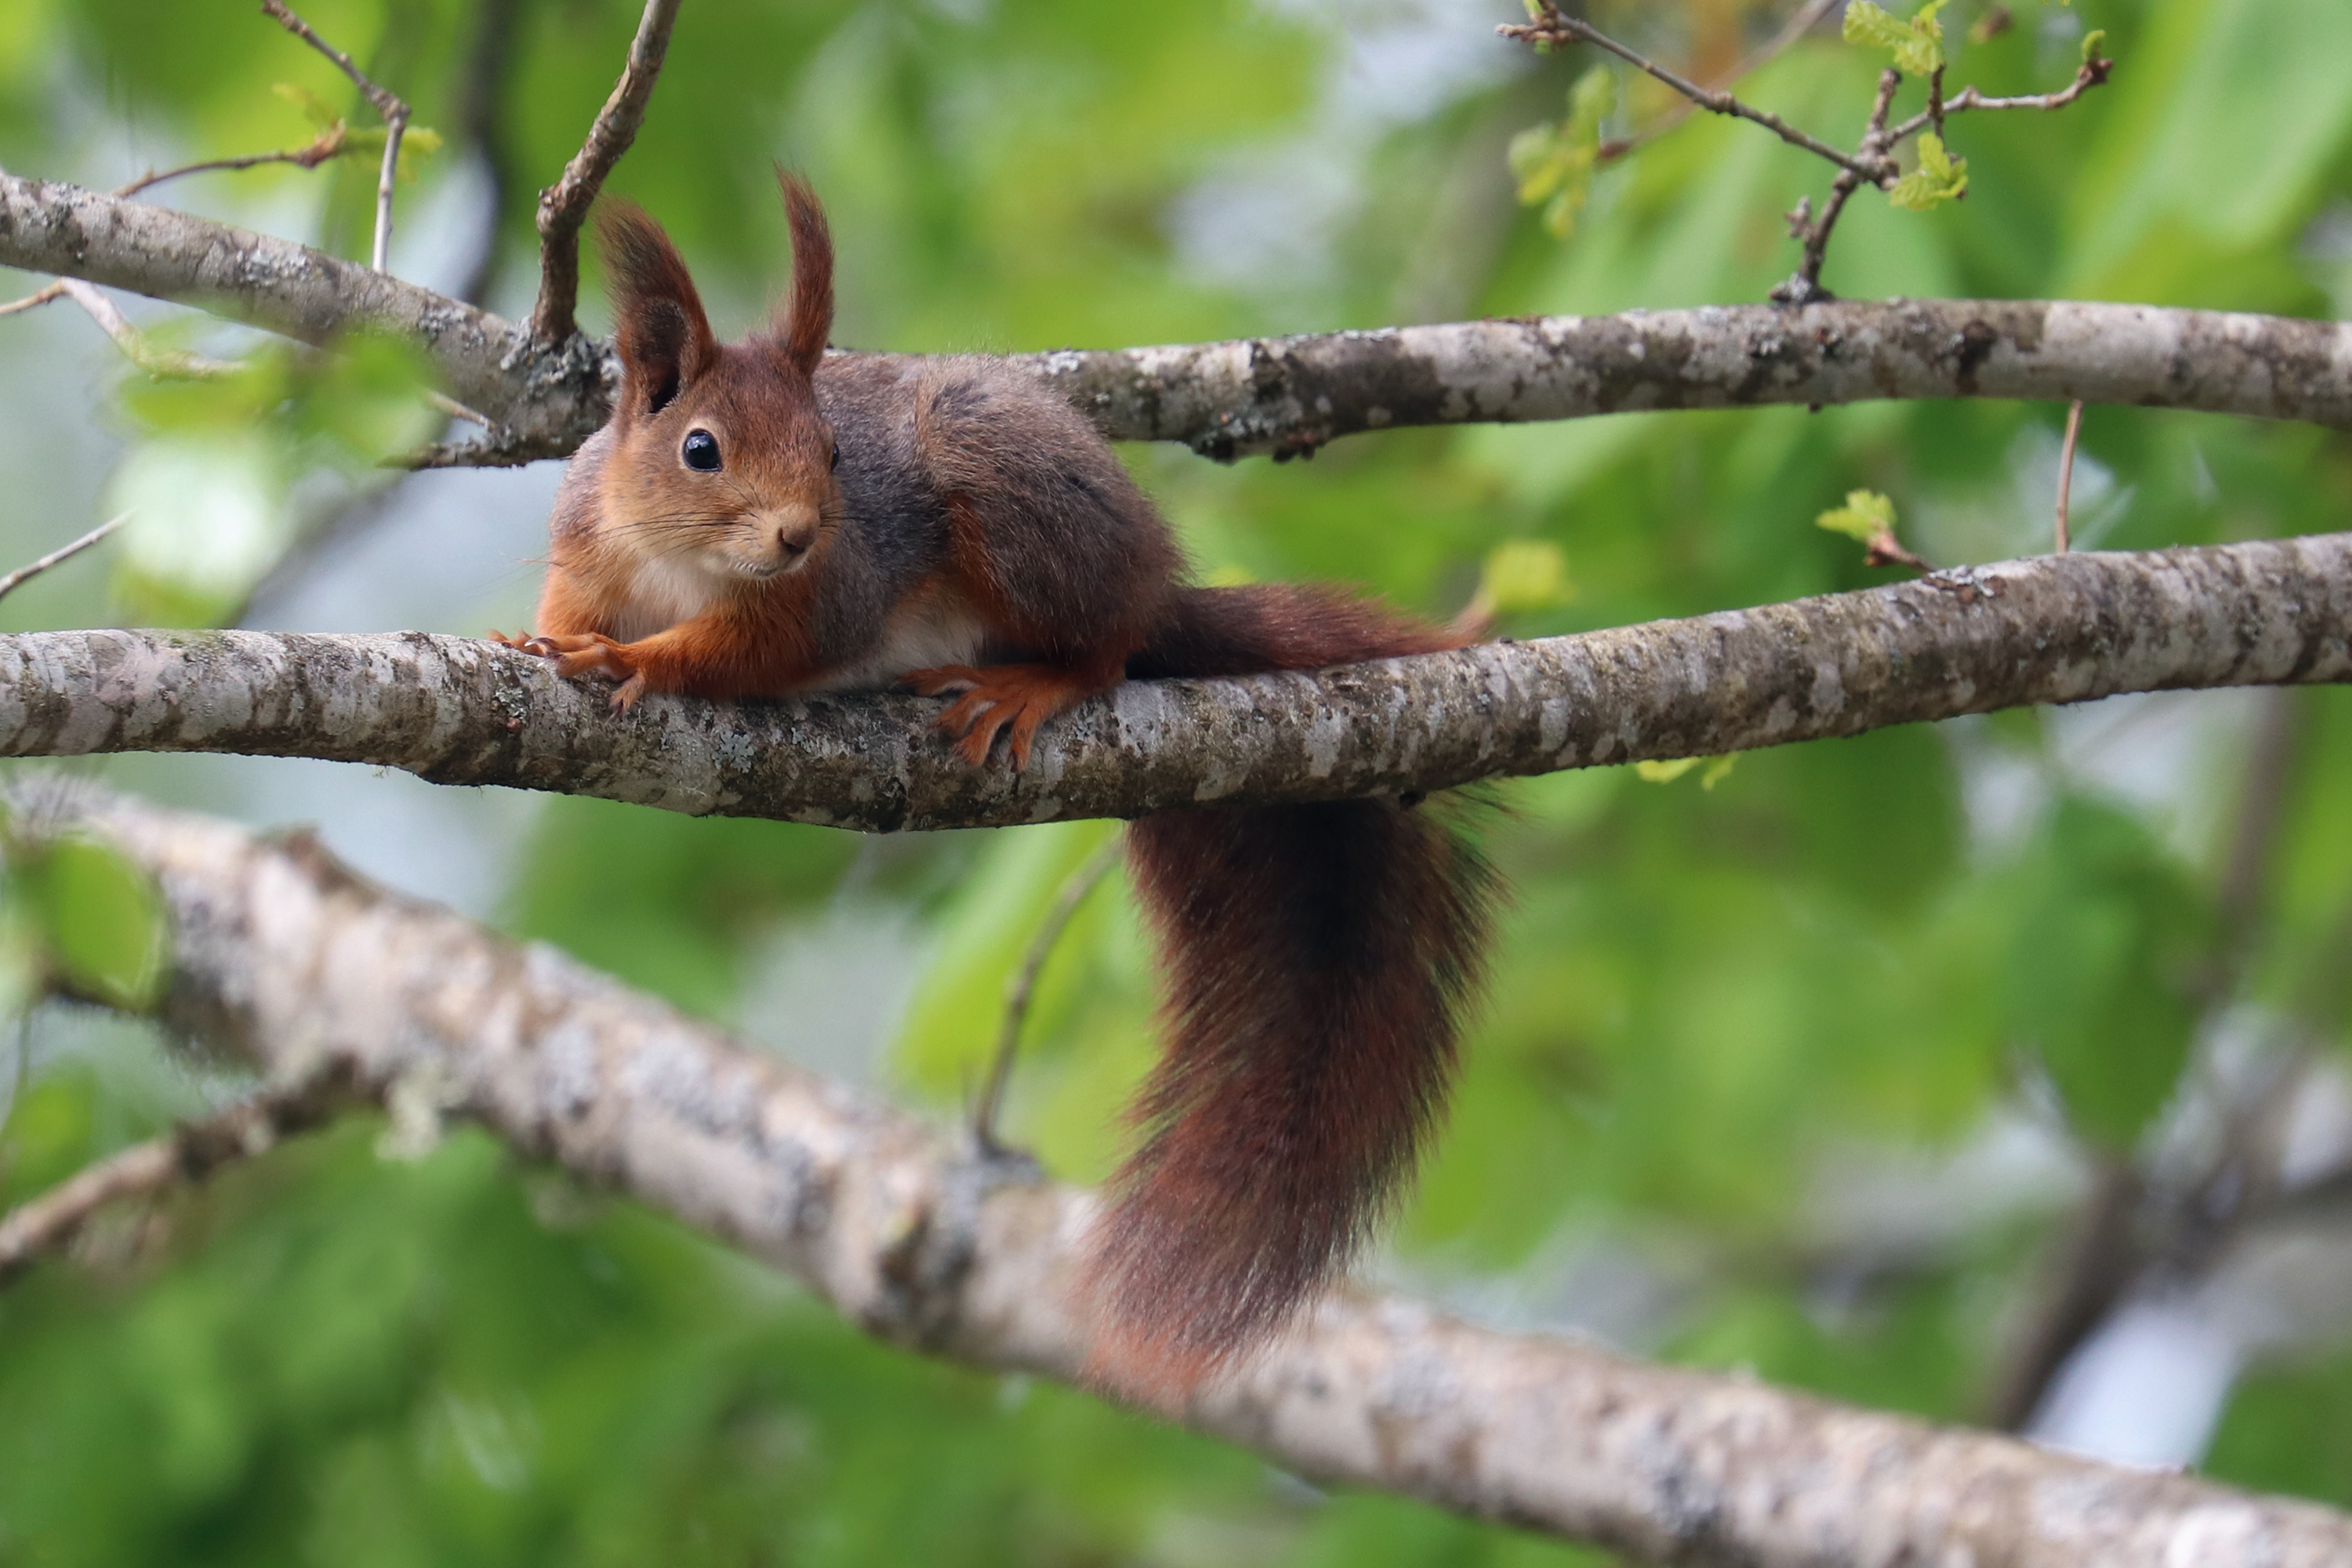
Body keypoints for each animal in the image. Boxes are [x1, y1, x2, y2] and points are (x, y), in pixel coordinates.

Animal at [503, 177, 1496, 1392]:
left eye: (835, 454)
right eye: (700, 449)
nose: (798, 533)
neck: (683, 564)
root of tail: (1153, 580)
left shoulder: (827, 599)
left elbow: (742, 653)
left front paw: (636, 660)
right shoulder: (586, 541)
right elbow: (565, 607)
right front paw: (548, 641)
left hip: (1006, 487)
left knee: (1107, 650)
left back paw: (1039, 681)